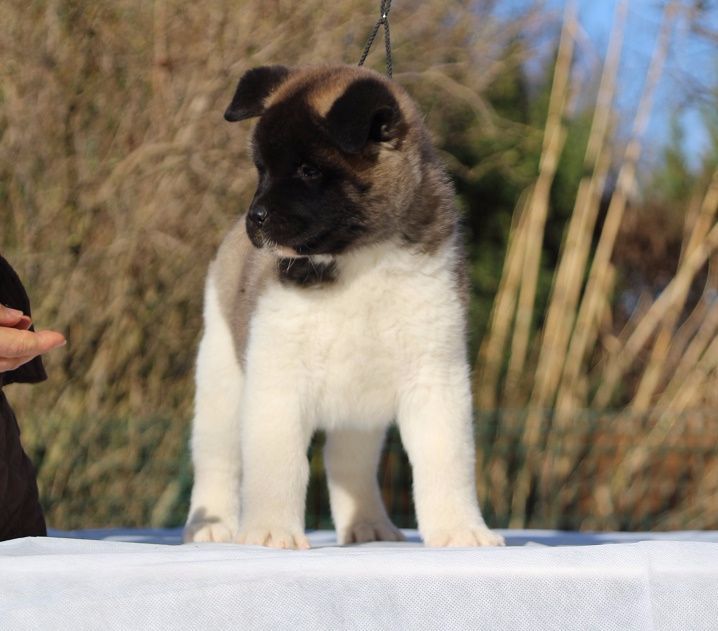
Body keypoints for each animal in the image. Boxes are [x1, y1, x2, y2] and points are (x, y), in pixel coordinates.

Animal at [184, 64, 504, 549]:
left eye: (309, 170)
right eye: (261, 170)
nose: (255, 218)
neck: (361, 259)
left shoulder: (435, 375)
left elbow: (447, 459)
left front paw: (461, 530)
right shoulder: (277, 381)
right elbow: (278, 464)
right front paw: (270, 531)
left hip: (361, 411)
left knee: (347, 462)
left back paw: (369, 526)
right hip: (222, 380)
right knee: (217, 460)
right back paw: (211, 527)